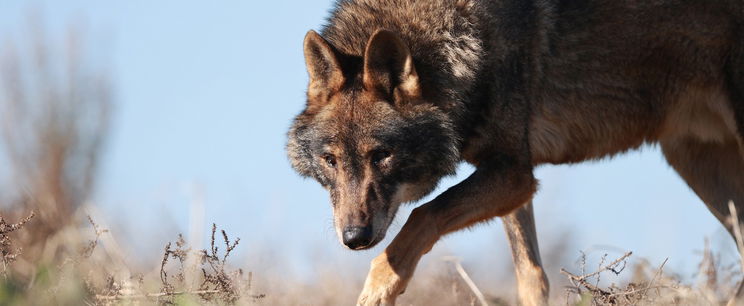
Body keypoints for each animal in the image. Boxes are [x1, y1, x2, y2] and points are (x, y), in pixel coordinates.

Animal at [286, 0, 744, 304]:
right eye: (330, 161)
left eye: (382, 155)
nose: (354, 239)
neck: (464, 44)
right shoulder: (512, 179)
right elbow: (531, 275)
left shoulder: (512, 175)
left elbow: (421, 218)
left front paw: (377, 289)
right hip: (699, 168)